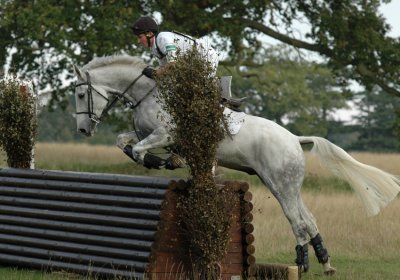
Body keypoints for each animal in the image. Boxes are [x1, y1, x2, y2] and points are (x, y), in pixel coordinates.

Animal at [73, 54, 398, 276]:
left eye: (79, 93)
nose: (83, 130)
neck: (148, 95)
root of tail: (294, 138)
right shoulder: (145, 134)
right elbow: (123, 141)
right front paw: (162, 159)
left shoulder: (164, 134)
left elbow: (139, 150)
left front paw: (158, 161)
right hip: (285, 185)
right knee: (308, 218)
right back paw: (325, 263)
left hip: (279, 182)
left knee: (297, 221)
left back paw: (302, 263)